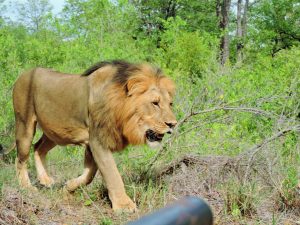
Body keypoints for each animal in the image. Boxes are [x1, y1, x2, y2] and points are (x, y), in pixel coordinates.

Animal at [12, 60, 177, 212]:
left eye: (170, 104)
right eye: (155, 103)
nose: (173, 124)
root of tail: (24, 73)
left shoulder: (90, 144)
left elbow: (89, 175)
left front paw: (68, 188)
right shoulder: (98, 140)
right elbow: (112, 174)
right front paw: (124, 206)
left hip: (56, 132)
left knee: (38, 147)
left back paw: (45, 180)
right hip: (24, 124)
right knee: (20, 158)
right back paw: (27, 187)